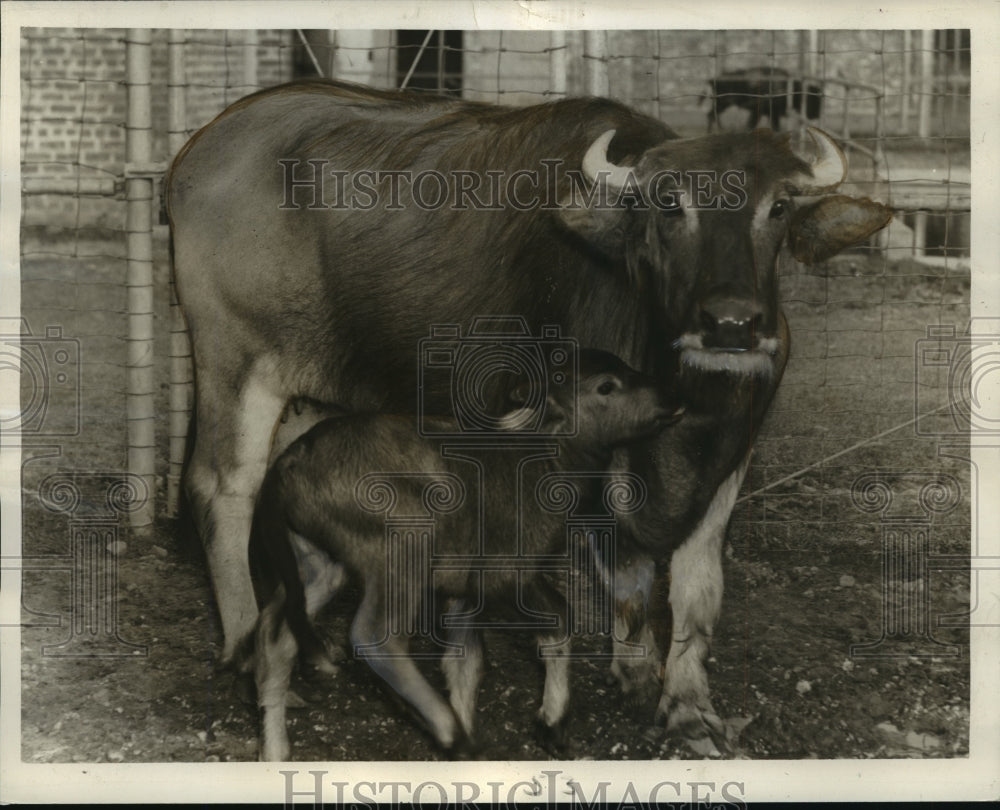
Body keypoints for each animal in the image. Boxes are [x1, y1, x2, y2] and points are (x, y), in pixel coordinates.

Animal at [166, 79, 892, 756]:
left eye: (778, 207)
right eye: (669, 205)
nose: (732, 324)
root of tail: (199, 150)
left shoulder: (732, 454)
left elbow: (695, 584)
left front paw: (686, 706)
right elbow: (608, 574)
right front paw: (616, 677)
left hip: (314, 397)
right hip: (236, 356)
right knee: (222, 485)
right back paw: (243, 645)